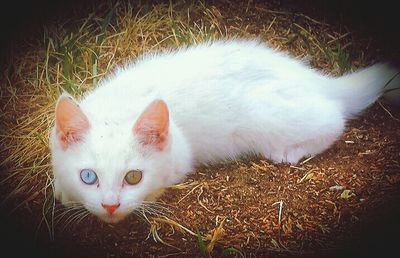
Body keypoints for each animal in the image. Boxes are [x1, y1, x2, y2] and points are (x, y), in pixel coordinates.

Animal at [50, 39, 400, 223]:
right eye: (88, 176)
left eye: (134, 176)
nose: (110, 205)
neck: (119, 107)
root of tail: (315, 79)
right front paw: (65, 192)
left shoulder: (181, 155)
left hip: (270, 115)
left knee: (333, 119)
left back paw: (290, 150)